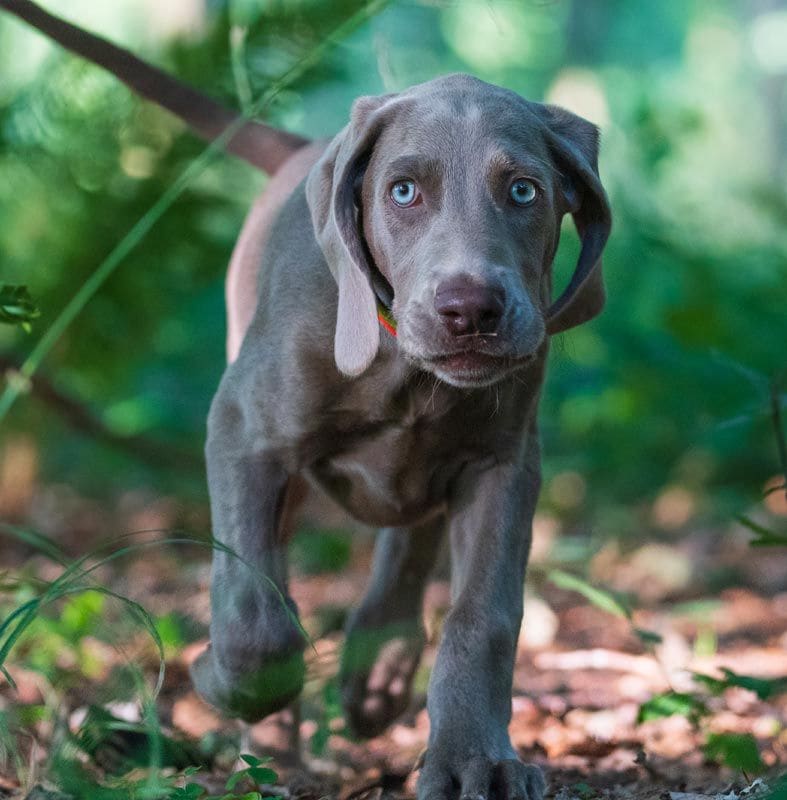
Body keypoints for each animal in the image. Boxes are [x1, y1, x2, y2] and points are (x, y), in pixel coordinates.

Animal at [0, 3, 612, 796]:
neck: (400, 367)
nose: (470, 309)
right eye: (402, 191)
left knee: (408, 533)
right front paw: (217, 678)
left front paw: (475, 759)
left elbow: (484, 617)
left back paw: (377, 671)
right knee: (275, 575)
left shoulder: (502, 464)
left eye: (524, 191)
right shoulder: (243, 434)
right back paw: (274, 751)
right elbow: (257, 618)